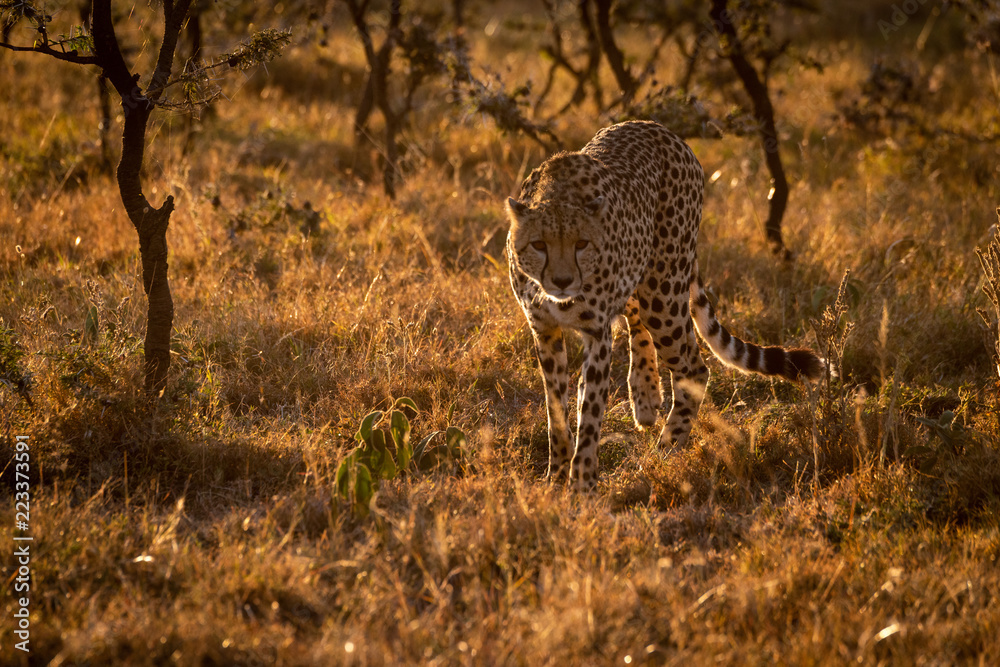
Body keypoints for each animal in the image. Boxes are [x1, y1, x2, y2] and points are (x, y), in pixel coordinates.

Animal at [505, 120, 823, 491]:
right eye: (539, 245)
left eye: (581, 244)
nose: (562, 281)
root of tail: (656, 126)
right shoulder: (544, 331)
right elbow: (555, 409)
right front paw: (555, 476)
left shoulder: (596, 332)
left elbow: (590, 412)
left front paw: (582, 482)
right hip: (649, 284)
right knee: (642, 323)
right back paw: (645, 397)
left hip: (664, 294)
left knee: (694, 367)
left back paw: (666, 448)